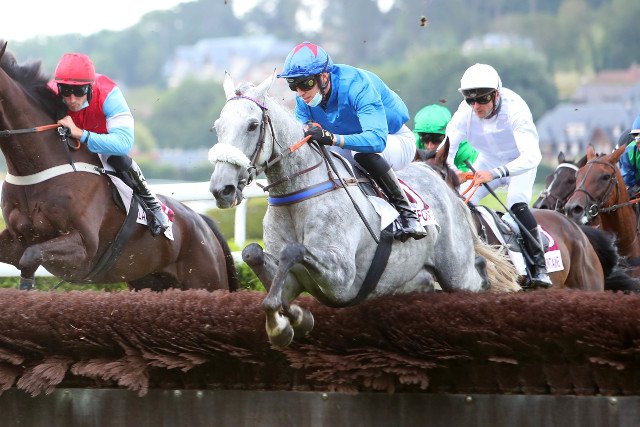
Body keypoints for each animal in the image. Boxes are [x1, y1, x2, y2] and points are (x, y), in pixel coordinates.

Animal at [0, 42, 238, 292]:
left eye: (78, 91)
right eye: (64, 89)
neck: (34, 170)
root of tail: (203, 222)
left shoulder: (83, 248)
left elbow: (30, 255)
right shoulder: (18, 239)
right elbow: (25, 254)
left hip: (207, 279)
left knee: (120, 157)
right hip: (150, 280)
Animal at [208, 72, 520, 348]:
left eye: (252, 125)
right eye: (217, 126)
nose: (222, 189)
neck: (298, 195)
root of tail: (440, 179)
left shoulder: (342, 278)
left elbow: (292, 251)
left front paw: (280, 325)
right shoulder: (294, 278)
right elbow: (254, 256)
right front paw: (291, 320)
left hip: (457, 272)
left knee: (480, 273)